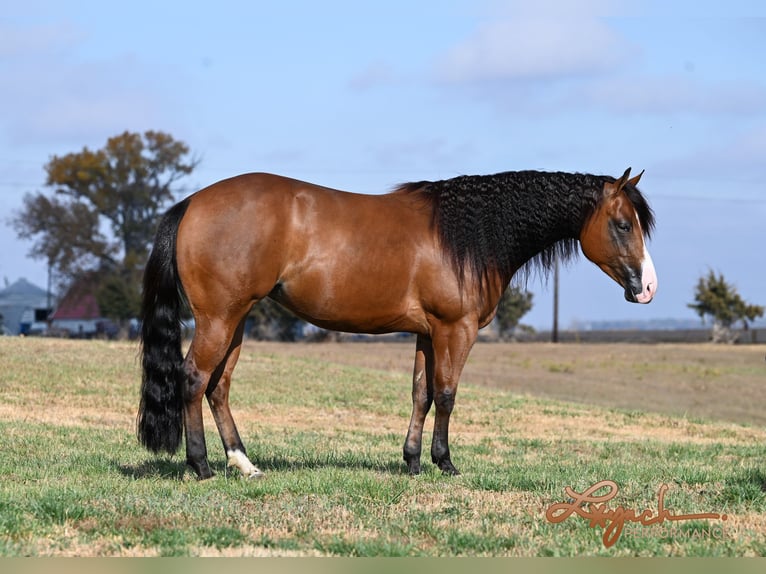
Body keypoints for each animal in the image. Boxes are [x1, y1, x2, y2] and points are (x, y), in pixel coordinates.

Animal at [135, 168, 656, 482]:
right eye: (623, 224)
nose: (648, 287)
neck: (468, 236)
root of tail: (192, 203)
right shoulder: (456, 329)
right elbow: (447, 394)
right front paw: (445, 462)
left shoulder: (427, 332)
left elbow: (421, 394)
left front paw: (412, 461)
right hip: (219, 318)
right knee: (193, 378)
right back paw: (201, 465)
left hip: (237, 320)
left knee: (218, 387)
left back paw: (245, 464)